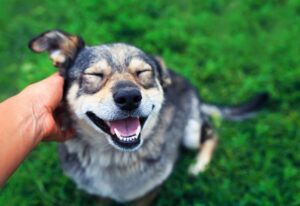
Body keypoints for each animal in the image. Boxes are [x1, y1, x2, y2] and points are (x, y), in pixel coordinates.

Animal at [27, 29, 268, 205]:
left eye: (143, 73)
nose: (129, 97)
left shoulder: (147, 193)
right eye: (94, 75)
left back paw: (198, 166)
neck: (114, 158)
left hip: (190, 132)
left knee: (211, 134)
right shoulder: (100, 194)